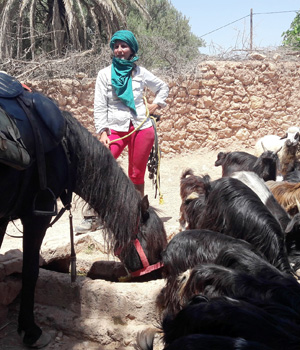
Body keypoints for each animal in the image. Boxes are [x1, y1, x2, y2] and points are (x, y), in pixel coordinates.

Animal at [0, 80, 168, 348]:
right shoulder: (37, 215)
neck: (66, 149)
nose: (158, 275)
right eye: (154, 244)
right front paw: (31, 330)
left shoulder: (3, 217)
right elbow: (31, 271)